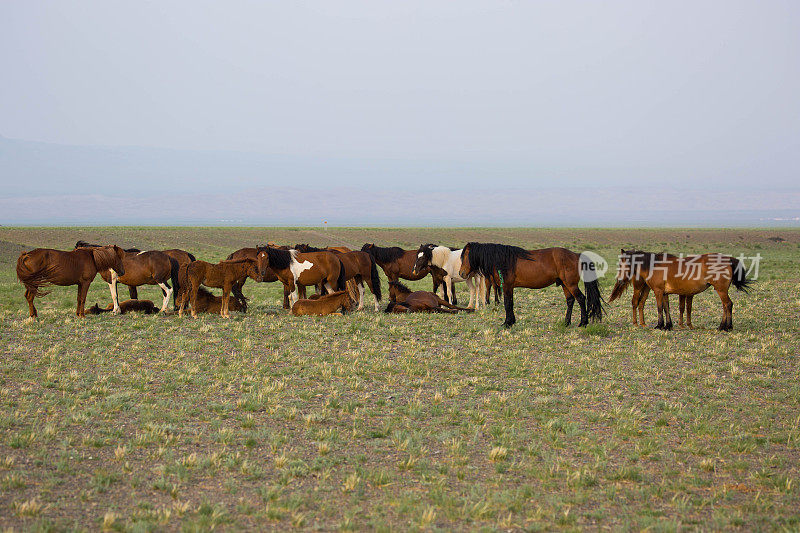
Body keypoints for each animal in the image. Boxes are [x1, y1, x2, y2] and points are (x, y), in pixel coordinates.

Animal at [460, 242, 604, 326]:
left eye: (465, 255)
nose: (461, 273)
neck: (503, 260)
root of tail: (576, 255)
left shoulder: (506, 286)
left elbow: (507, 304)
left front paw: (507, 323)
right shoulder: (509, 287)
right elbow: (510, 303)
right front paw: (512, 321)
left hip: (571, 284)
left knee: (581, 298)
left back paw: (583, 323)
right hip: (564, 284)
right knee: (570, 300)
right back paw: (566, 322)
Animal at [608, 248, 752, 328]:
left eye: (622, 264)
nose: (620, 280)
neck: (654, 265)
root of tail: (728, 259)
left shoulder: (658, 291)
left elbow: (659, 308)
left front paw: (659, 325)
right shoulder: (664, 293)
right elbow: (666, 308)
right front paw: (668, 325)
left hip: (721, 290)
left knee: (727, 304)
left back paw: (725, 327)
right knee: (725, 305)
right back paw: (723, 326)